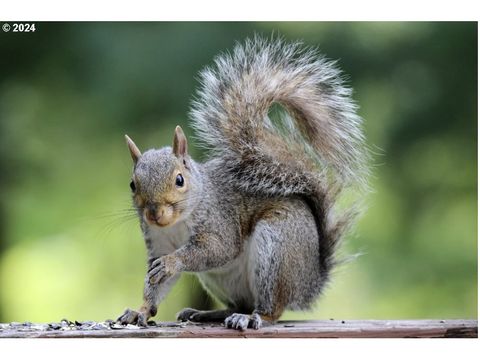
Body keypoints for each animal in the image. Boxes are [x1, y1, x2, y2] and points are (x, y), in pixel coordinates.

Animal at [115, 37, 368, 332]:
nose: (154, 213)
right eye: (133, 184)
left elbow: (217, 249)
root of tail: (309, 283)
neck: (177, 222)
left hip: (276, 247)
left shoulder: (220, 221)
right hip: (221, 280)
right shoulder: (157, 242)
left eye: (179, 179)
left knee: (271, 308)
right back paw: (209, 313)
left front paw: (172, 262)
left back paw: (252, 317)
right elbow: (156, 285)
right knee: (241, 303)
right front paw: (140, 311)